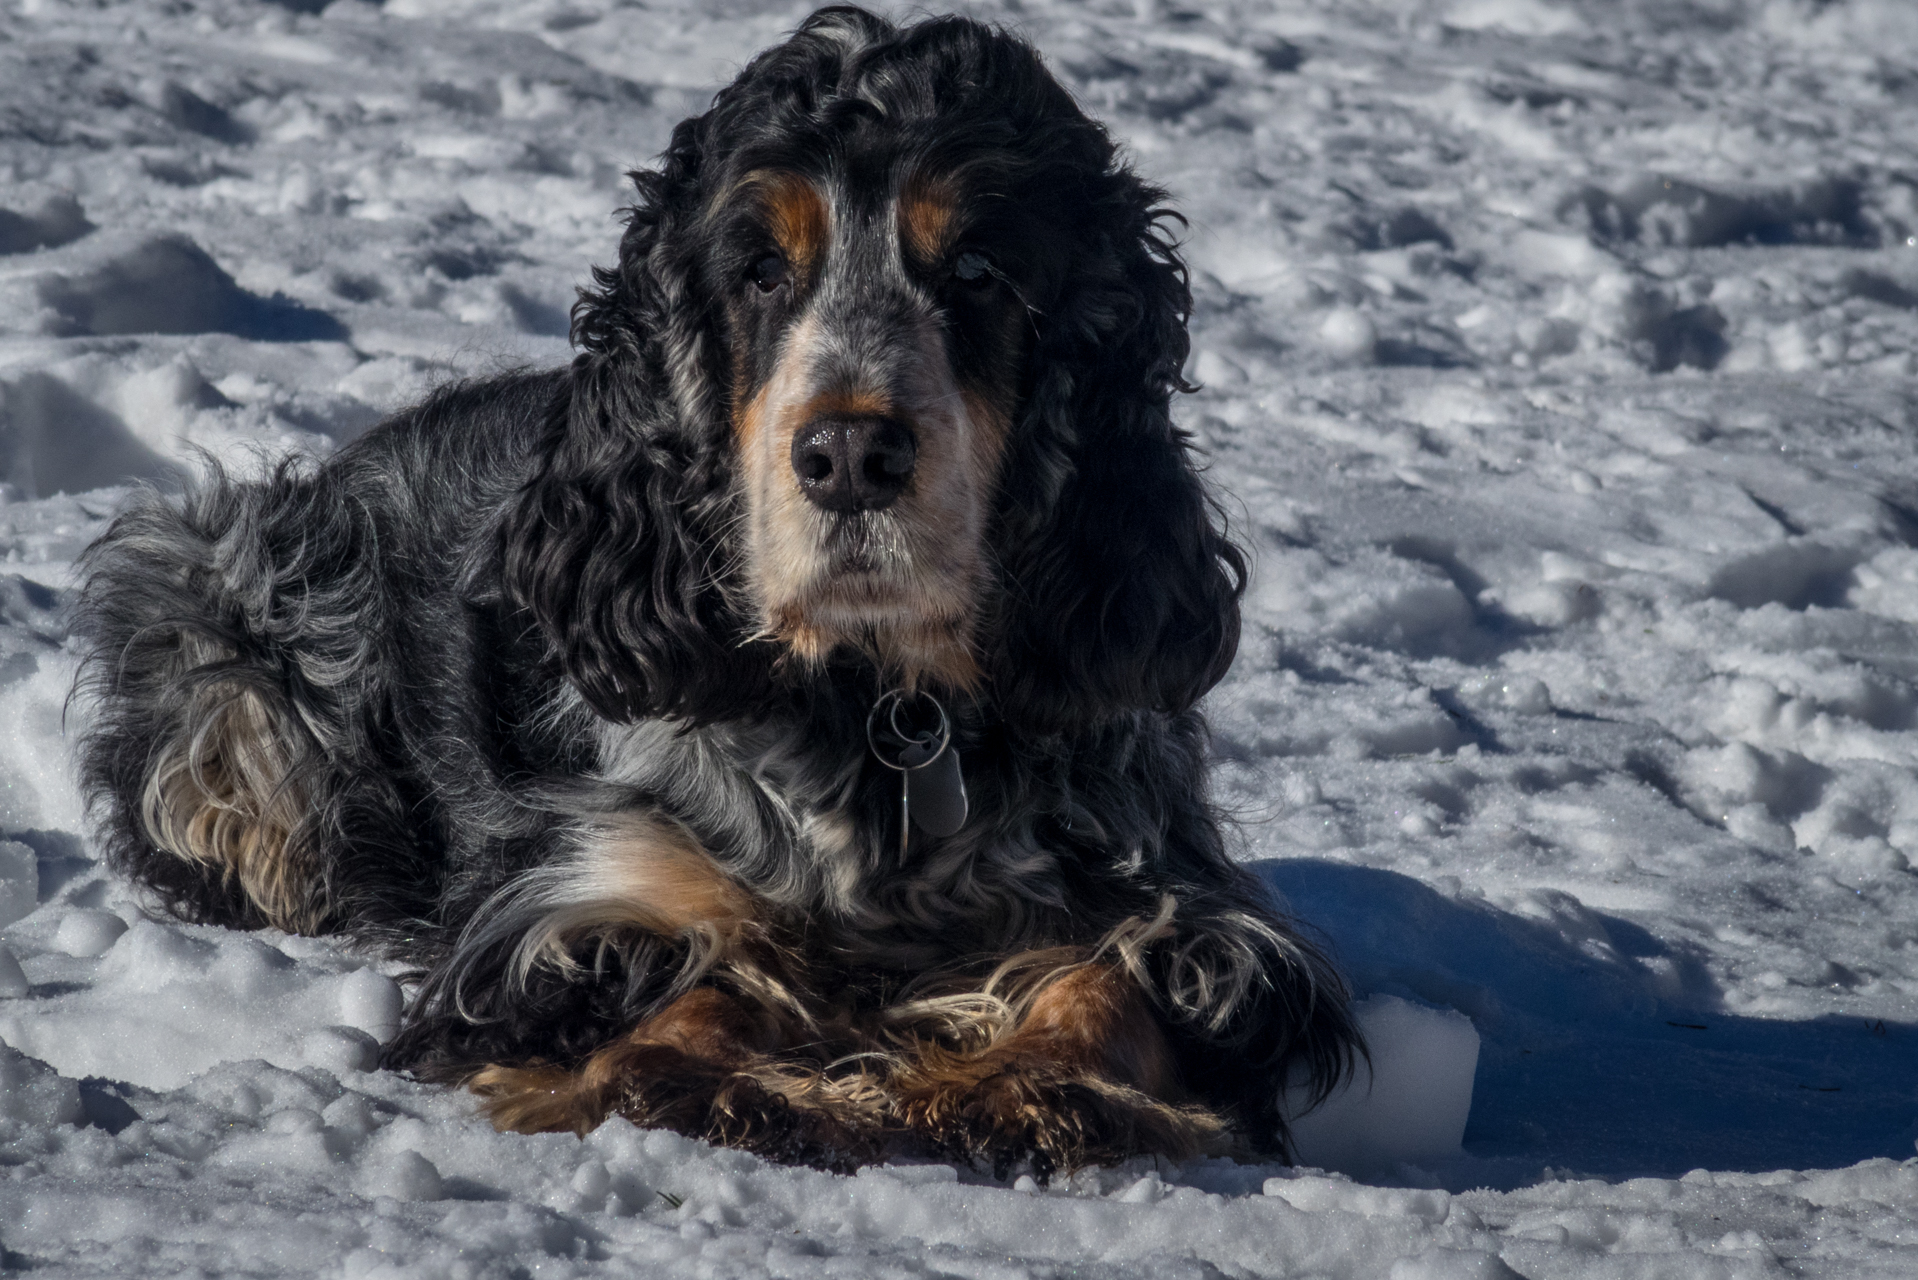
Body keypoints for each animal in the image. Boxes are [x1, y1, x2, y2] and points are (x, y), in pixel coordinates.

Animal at [70, 7, 1365, 1182]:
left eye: (980, 268)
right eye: (758, 269)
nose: (849, 454)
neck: (878, 708)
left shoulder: (1183, 901)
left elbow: (1120, 976)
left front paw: (1029, 1082)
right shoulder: (568, 901)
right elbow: (689, 968)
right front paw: (719, 1077)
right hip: (218, 618)